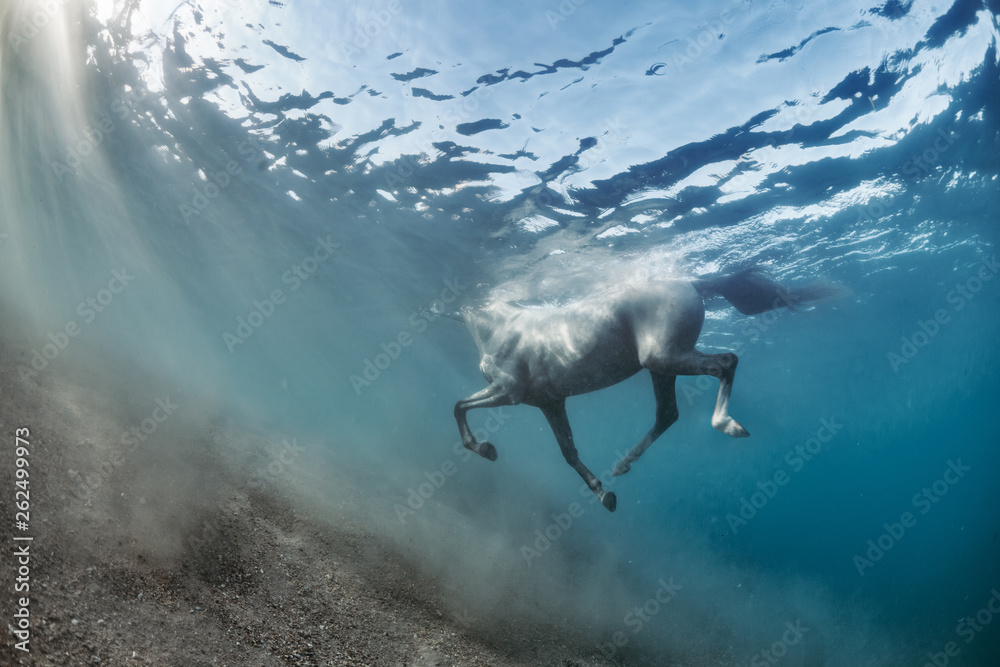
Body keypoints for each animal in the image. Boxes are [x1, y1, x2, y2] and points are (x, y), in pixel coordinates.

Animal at [450, 266, 840, 512]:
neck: (499, 326)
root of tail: (691, 283)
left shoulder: (508, 392)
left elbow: (458, 405)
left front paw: (484, 448)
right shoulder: (550, 402)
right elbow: (569, 453)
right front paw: (604, 494)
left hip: (663, 357)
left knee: (726, 363)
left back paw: (727, 424)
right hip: (660, 367)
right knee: (668, 413)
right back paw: (622, 464)